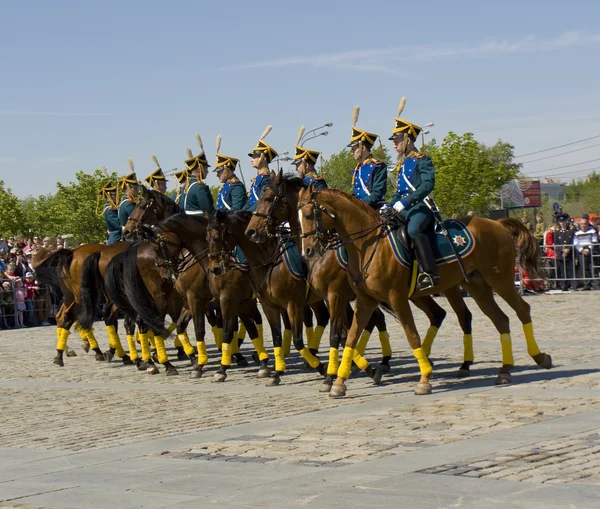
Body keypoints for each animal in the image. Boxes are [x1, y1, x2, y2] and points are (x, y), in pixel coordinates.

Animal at [246, 171, 476, 388]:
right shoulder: (330, 298)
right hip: (420, 293)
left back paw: (459, 365)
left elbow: (335, 334)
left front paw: (331, 374)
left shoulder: (329, 296)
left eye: (268, 198)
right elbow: (344, 333)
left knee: (458, 316)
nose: (252, 231)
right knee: (436, 315)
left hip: (444, 288)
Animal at [296, 187, 552, 396]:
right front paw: (339, 382)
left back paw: (539, 357)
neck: (368, 244)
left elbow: (411, 335)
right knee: (499, 319)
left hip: (499, 279)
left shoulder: (393, 297)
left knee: (521, 310)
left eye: (308, 215)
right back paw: (504, 370)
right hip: (476, 286)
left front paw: (425, 378)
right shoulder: (364, 300)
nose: (306, 251)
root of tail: (497, 224)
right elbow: (350, 337)